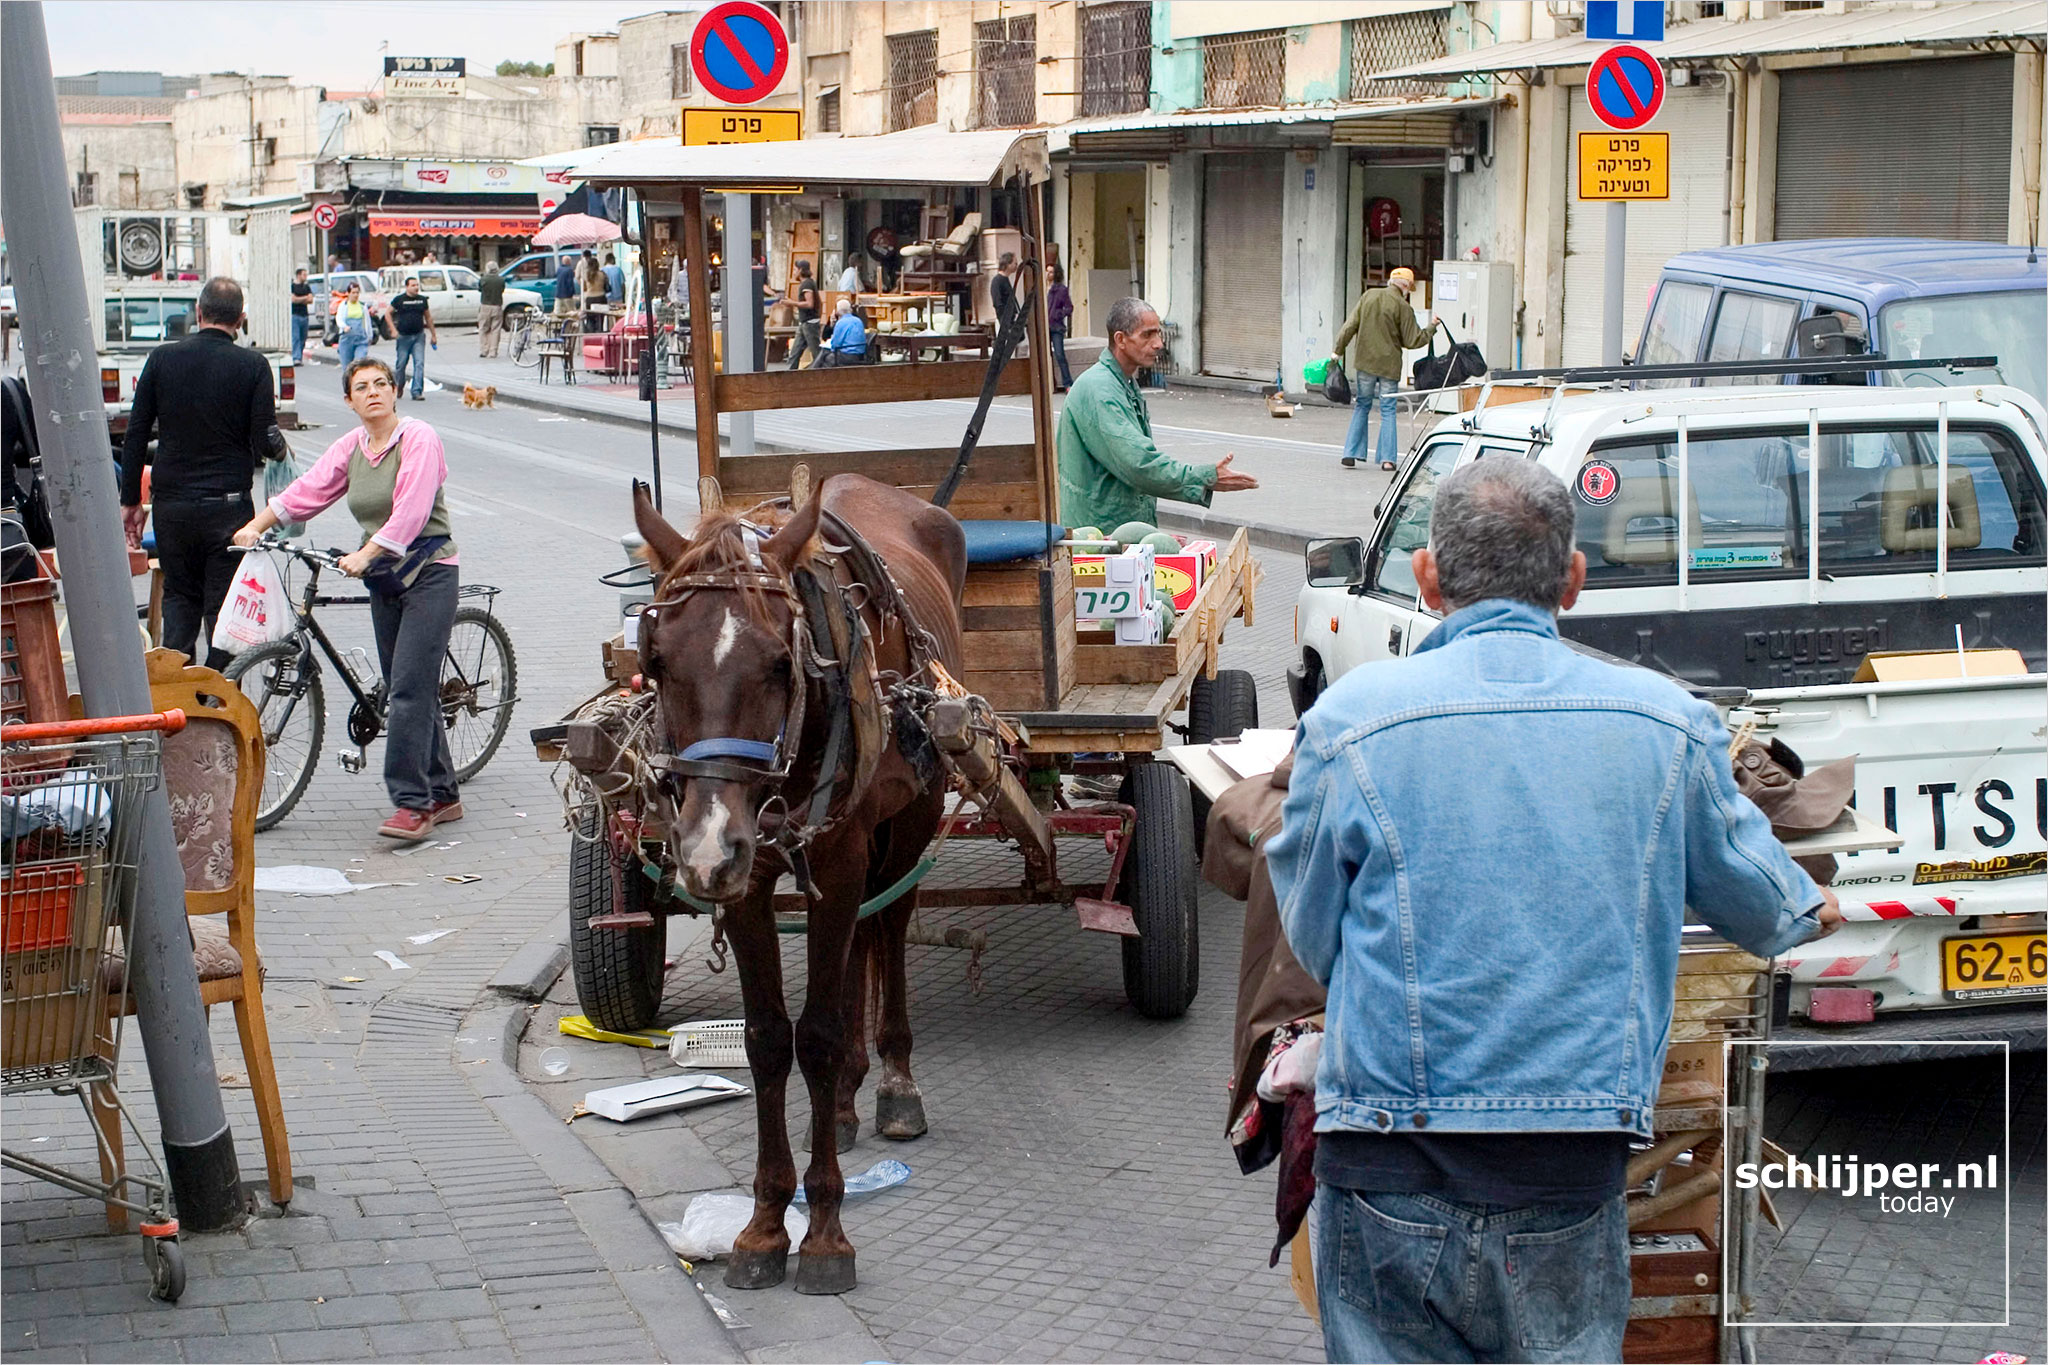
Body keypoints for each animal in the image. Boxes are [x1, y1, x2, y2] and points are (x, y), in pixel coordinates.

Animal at [630, 470, 966, 1293]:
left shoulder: (839, 855)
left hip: (912, 810)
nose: (705, 846)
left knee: (889, 925)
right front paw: (761, 1225)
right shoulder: (748, 877)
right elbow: (766, 1039)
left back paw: (891, 1081)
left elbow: (813, 1033)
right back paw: (842, 1101)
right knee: (860, 940)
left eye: (782, 664)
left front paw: (824, 1234)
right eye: (660, 662)